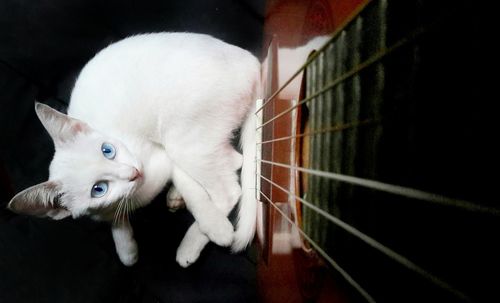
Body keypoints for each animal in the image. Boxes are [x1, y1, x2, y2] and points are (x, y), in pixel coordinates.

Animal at [6, 33, 262, 268]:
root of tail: (252, 62)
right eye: (99, 189)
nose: (133, 173)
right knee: (233, 160)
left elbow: (194, 193)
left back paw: (195, 239)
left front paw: (215, 227)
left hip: (182, 142)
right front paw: (126, 248)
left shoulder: (163, 156)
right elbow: (117, 225)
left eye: (107, 150)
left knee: (230, 186)